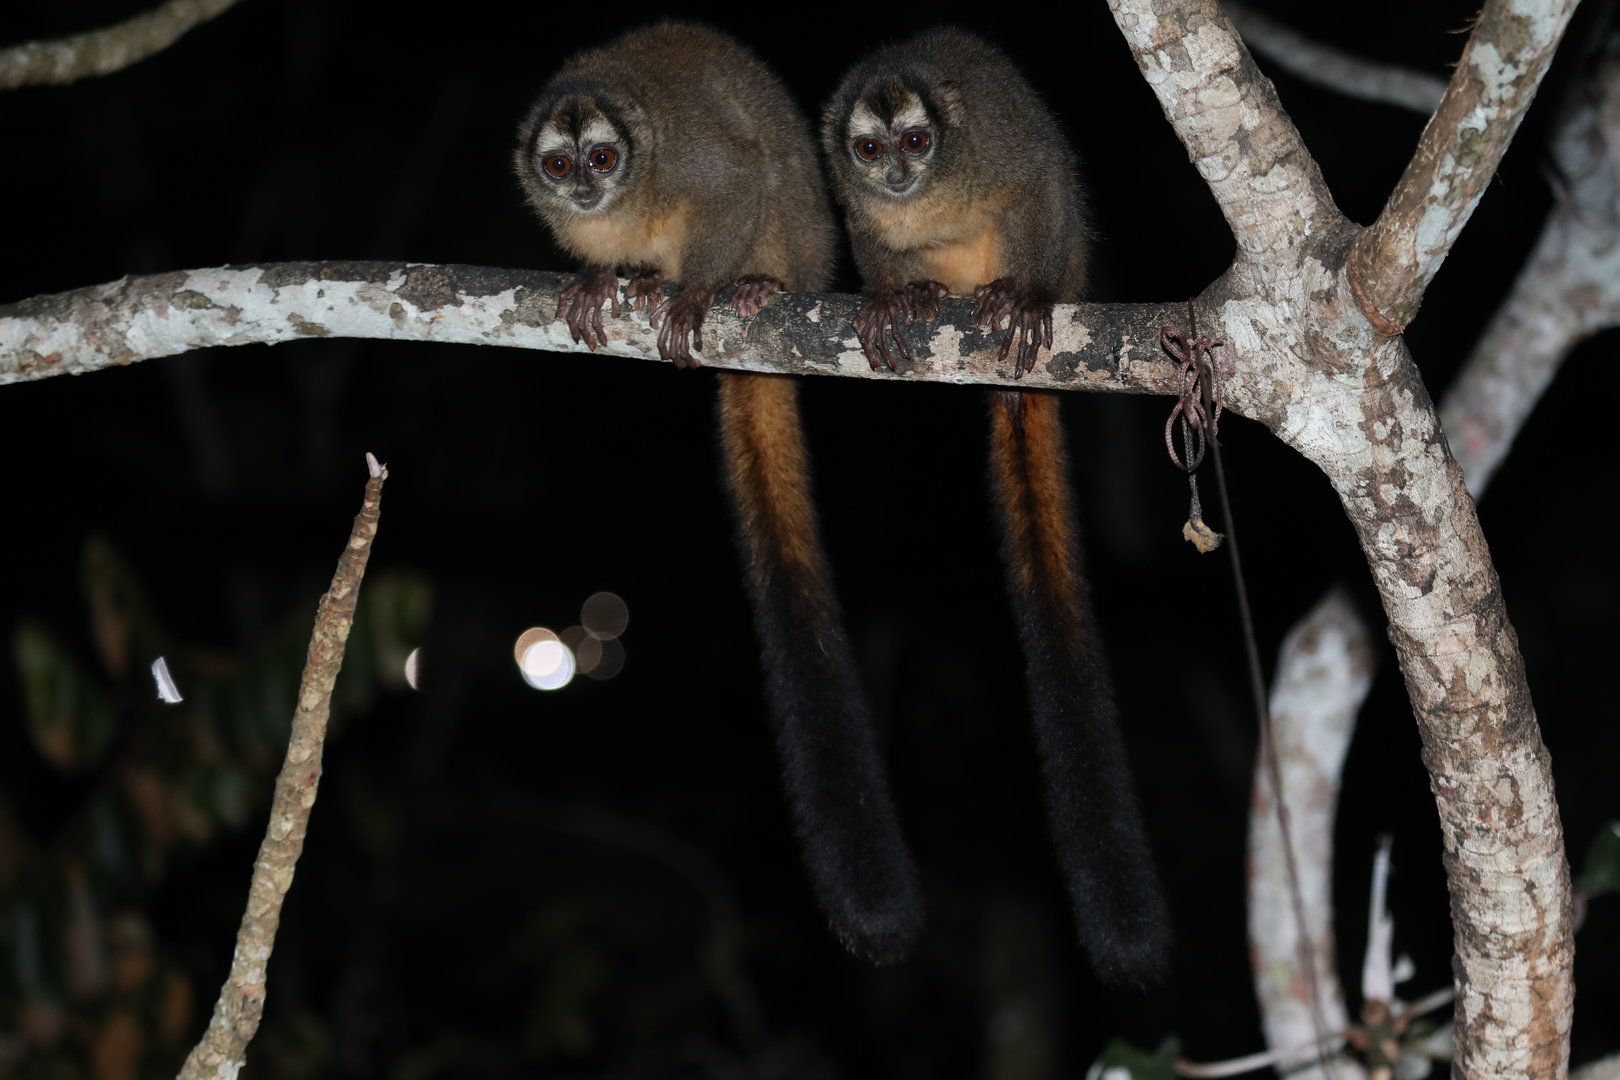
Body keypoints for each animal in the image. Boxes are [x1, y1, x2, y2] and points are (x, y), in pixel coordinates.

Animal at [514, 22, 923, 964]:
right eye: (561, 166)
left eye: (602, 158)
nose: (585, 188)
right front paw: (603, 278)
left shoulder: (692, 162)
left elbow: (737, 180)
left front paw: (698, 289)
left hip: (800, 243)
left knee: (771, 185)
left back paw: (753, 287)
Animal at [822, 28, 1171, 985]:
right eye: (871, 150)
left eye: (917, 141)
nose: (900, 175)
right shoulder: (856, 203)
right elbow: (867, 237)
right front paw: (890, 296)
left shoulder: (1000, 149)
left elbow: (1042, 179)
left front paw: (1029, 297)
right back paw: (926, 297)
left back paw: (1006, 299)